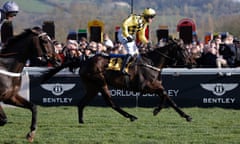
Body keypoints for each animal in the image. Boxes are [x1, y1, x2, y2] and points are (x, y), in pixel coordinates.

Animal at [40, 38, 191, 124]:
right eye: (183, 49)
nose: (191, 63)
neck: (151, 63)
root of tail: (84, 61)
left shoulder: (156, 86)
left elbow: (169, 98)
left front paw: (186, 116)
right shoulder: (146, 87)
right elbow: (165, 95)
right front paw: (157, 110)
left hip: (92, 87)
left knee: (82, 103)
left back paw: (81, 120)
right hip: (101, 83)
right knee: (111, 103)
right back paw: (131, 116)